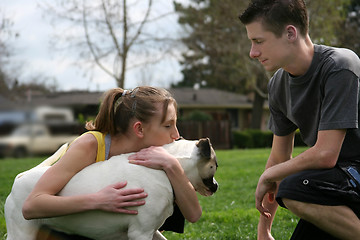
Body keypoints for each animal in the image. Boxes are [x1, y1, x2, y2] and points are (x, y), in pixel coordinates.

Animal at [4, 138, 218, 240]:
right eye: (215, 165)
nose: (216, 186)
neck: (163, 167)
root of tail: (20, 177)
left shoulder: (150, 231)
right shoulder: (140, 233)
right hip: (21, 233)